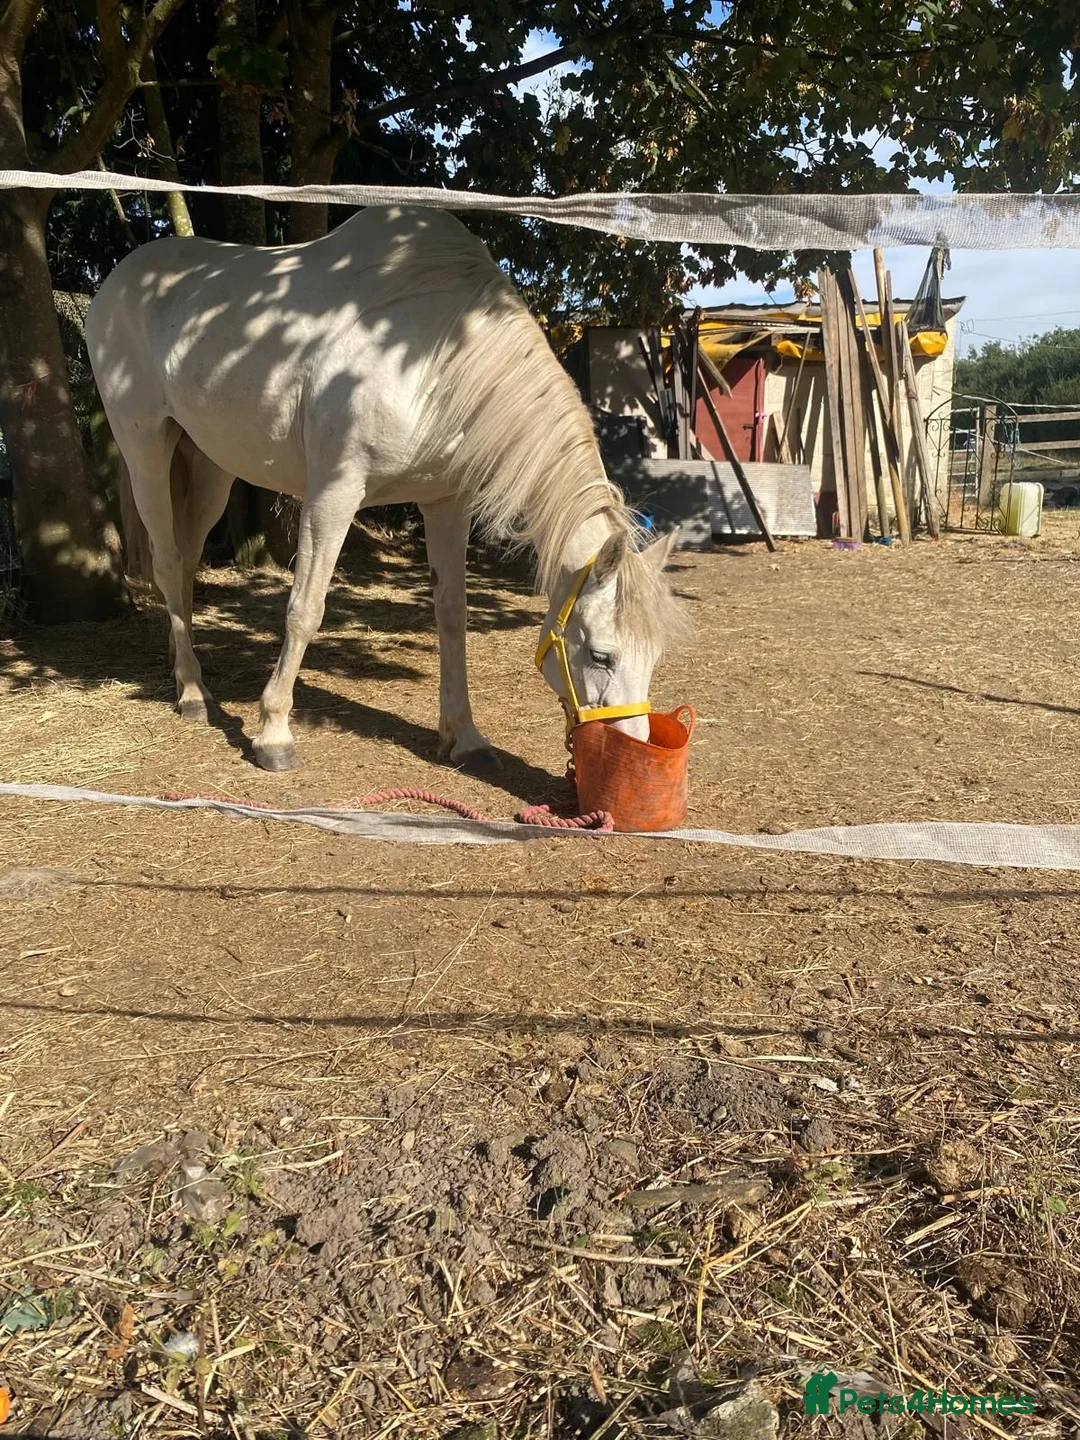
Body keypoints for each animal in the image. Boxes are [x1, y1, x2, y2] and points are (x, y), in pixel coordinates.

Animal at [86, 205, 683, 774]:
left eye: (656, 657)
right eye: (602, 655)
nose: (630, 746)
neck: (429, 353)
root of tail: (116, 283)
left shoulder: (447, 504)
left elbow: (452, 615)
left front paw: (465, 739)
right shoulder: (334, 494)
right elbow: (305, 608)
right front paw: (273, 733)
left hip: (213, 466)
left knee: (187, 558)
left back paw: (183, 668)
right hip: (145, 449)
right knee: (167, 562)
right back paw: (190, 691)